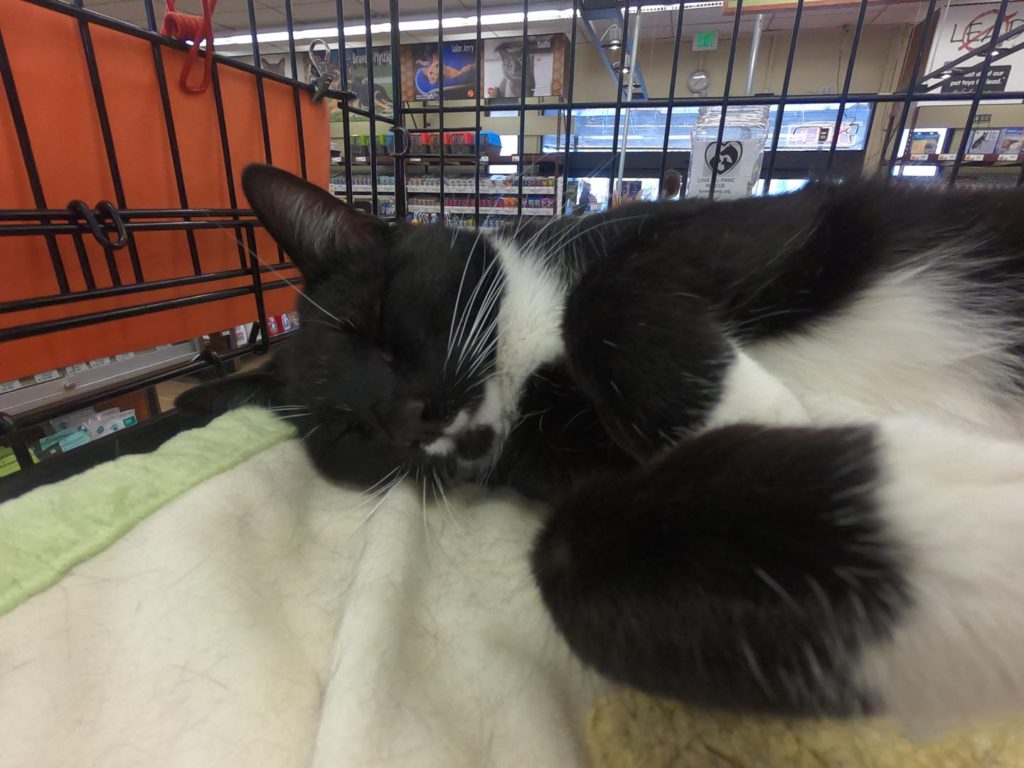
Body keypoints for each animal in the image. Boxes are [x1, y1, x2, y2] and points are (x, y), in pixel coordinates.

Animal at [178, 163, 1024, 729]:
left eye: (379, 329)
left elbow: (604, 293)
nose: (411, 419)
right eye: (352, 432)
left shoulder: (737, 227)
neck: (527, 367)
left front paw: (760, 416)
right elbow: (578, 550)